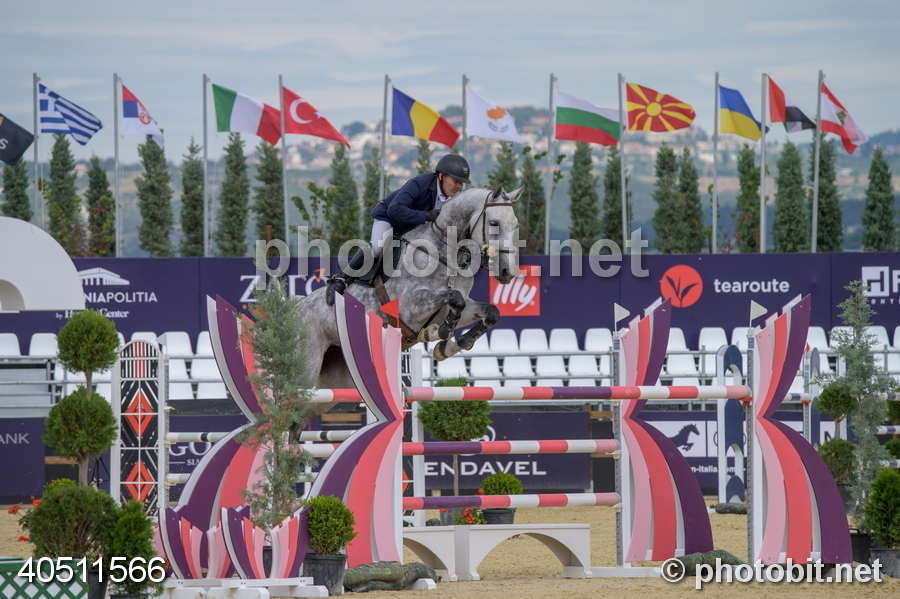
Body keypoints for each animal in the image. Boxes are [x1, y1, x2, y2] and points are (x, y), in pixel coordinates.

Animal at [297, 186, 523, 390]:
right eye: (493, 223)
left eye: (515, 224)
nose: (506, 272)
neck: (444, 254)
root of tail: (295, 310)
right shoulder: (410, 308)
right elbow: (454, 297)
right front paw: (439, 332)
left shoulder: (458, 309)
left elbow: (490, 312)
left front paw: (451, 345)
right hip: (308, 367)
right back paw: (335, 286)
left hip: (339, 377)